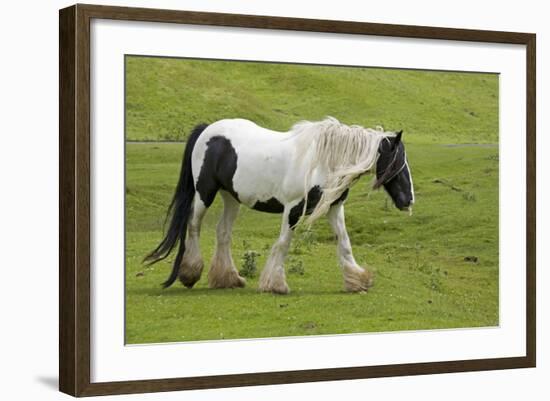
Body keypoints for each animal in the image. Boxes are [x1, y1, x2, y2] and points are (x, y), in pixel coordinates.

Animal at [144, 117, 416, 292]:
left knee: (223, 232)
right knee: (194, 226)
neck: (322, 161)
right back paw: (191, 274)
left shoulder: (334, 208)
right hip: (205, 193)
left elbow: (345, 243)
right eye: (397, 161)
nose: (409, 200)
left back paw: (228, 279)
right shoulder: (293, 209)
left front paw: (357, 280)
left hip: (231, 197)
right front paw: (275, 284)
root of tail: (206, 130)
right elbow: (284, 243)